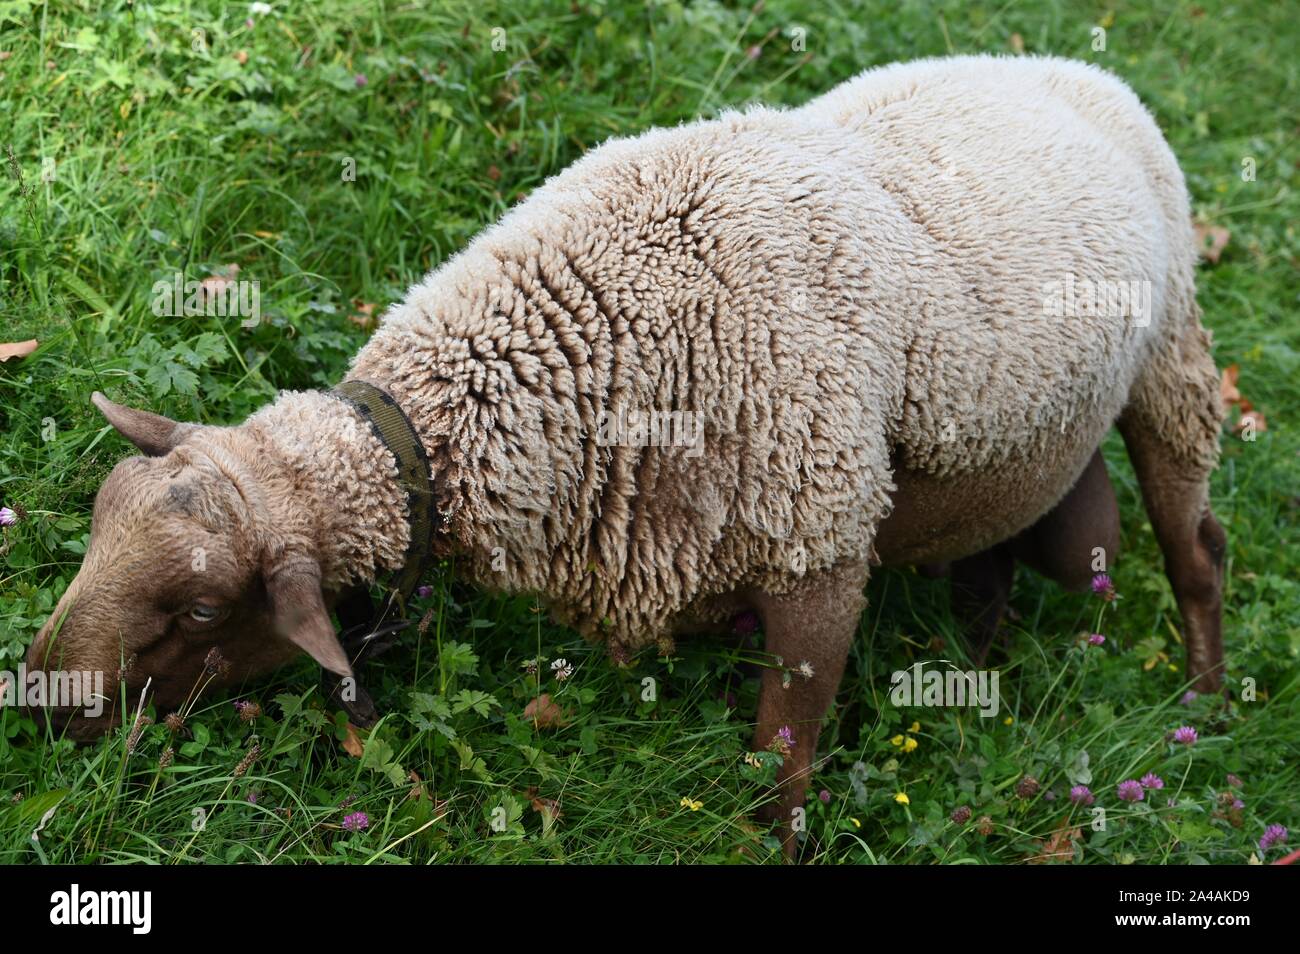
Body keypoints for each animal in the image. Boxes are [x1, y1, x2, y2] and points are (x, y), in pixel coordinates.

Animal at [30, 54, 1227, 857]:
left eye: (196, 613)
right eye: (98, 520)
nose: (39, 700)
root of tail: (1072, 65)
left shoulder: (820, 543)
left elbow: (778, 759)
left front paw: (771, 842)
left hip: (1173, 360)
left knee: (1196, 547)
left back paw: (1205, 708)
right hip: (1021, 443)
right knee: (1013, 549)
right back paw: (983, 658)